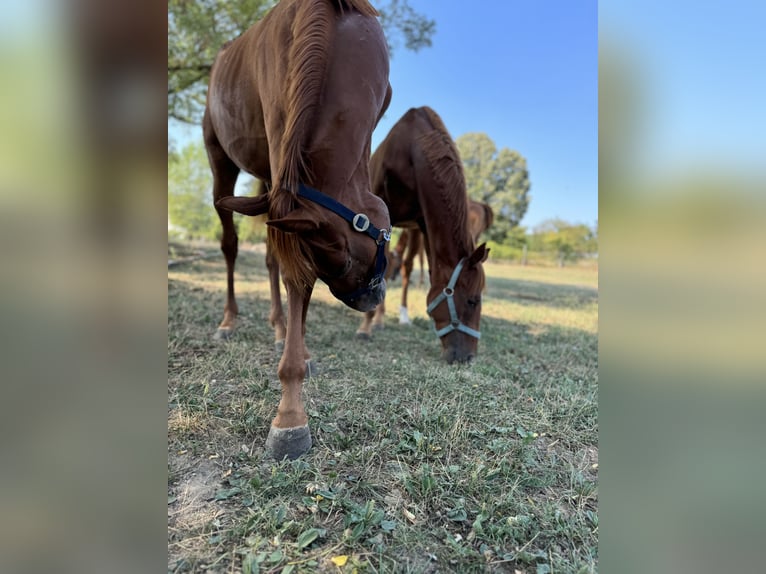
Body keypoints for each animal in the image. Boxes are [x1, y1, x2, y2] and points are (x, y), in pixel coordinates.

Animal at [204, 0, 392, 460]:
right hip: (221, 158)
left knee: (270, 254)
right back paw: (230, 320)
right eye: (343, 262)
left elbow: (287, 268)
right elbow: (293, 276)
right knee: (231, 244)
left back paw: (278, 328)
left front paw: (299, 353)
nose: (368, 299)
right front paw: (290, 415)